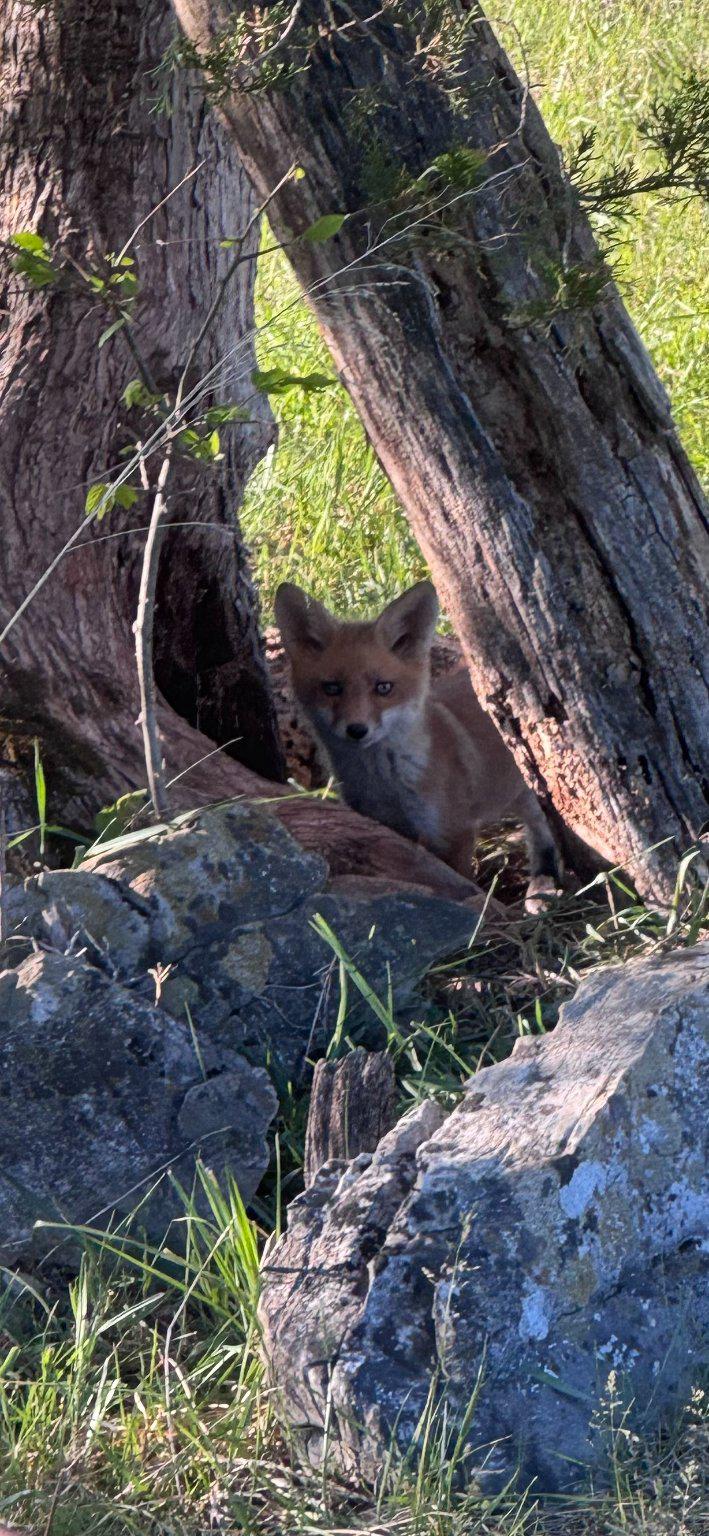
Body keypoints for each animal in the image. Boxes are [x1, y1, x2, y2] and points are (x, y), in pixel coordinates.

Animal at [275, 579, 562, 910]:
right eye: (332, 688)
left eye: (384, 687)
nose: (357, 730)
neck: (387, 786)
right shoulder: (389, 831)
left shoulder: (452, 834)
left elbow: (463, 884)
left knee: (541, 826)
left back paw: (544, 881)